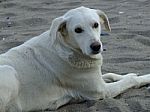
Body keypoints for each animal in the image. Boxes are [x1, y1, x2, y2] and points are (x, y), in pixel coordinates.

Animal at [0, 6, 150, 111]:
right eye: (78, 30)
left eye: (96, 24)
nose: (96, 46)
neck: (68, 48)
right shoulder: (102, 91)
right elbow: (131, 81)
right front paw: (143, 78)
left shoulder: (96, 78)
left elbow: (111, 75)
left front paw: (130, 74)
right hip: (9, 71)